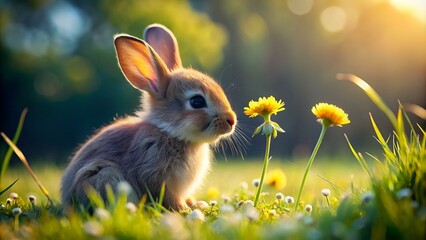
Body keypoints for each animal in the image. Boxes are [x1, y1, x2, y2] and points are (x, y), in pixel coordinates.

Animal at [60, 23, 238, 210]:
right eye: (197, 101)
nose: (231, 120)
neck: (171, 132)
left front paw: (195, 205)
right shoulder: (154, 172)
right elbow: (168, 197)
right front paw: (184, 209)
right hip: (106, 176)